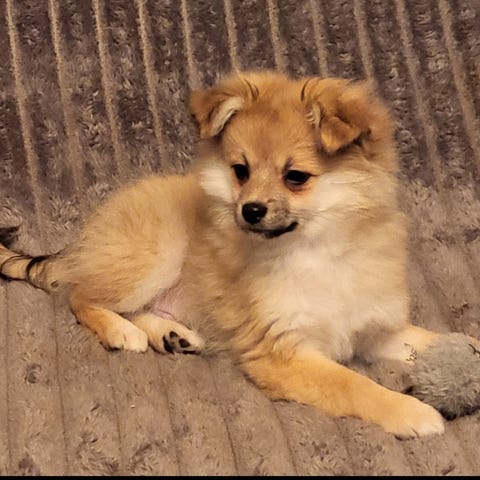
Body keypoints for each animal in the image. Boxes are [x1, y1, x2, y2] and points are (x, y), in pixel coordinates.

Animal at [0, 69, 449, 438]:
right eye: (241, 171)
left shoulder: (376, 330)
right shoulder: (282, 351)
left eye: (295, 177)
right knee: (80, 295)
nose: (250, 210)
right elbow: (353, 384)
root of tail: (83, 239)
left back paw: (171, 334)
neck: (320, 250)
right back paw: (121, 331)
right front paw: (410, 411)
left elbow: (431, 340)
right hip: (153, 255)